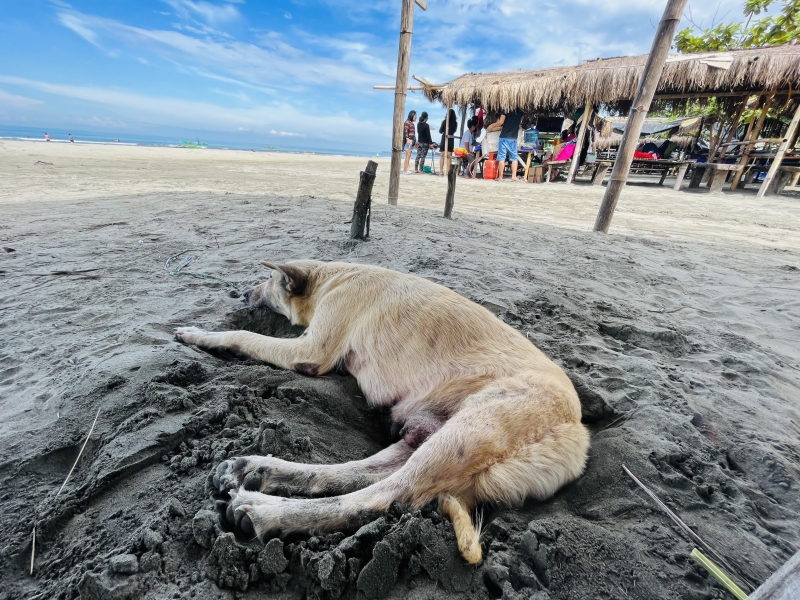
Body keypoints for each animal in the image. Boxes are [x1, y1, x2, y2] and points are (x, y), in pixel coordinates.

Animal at [175, 260, 588, 564]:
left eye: (269, 278)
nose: (244, 293)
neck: (330, 277)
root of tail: (577, 433)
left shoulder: (309, 351)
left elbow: (244, 335)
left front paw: (200, 335)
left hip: (468, 431)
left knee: (383, 497)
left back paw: (267, 511)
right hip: (431, 434)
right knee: (353, 474)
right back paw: (259, 468)